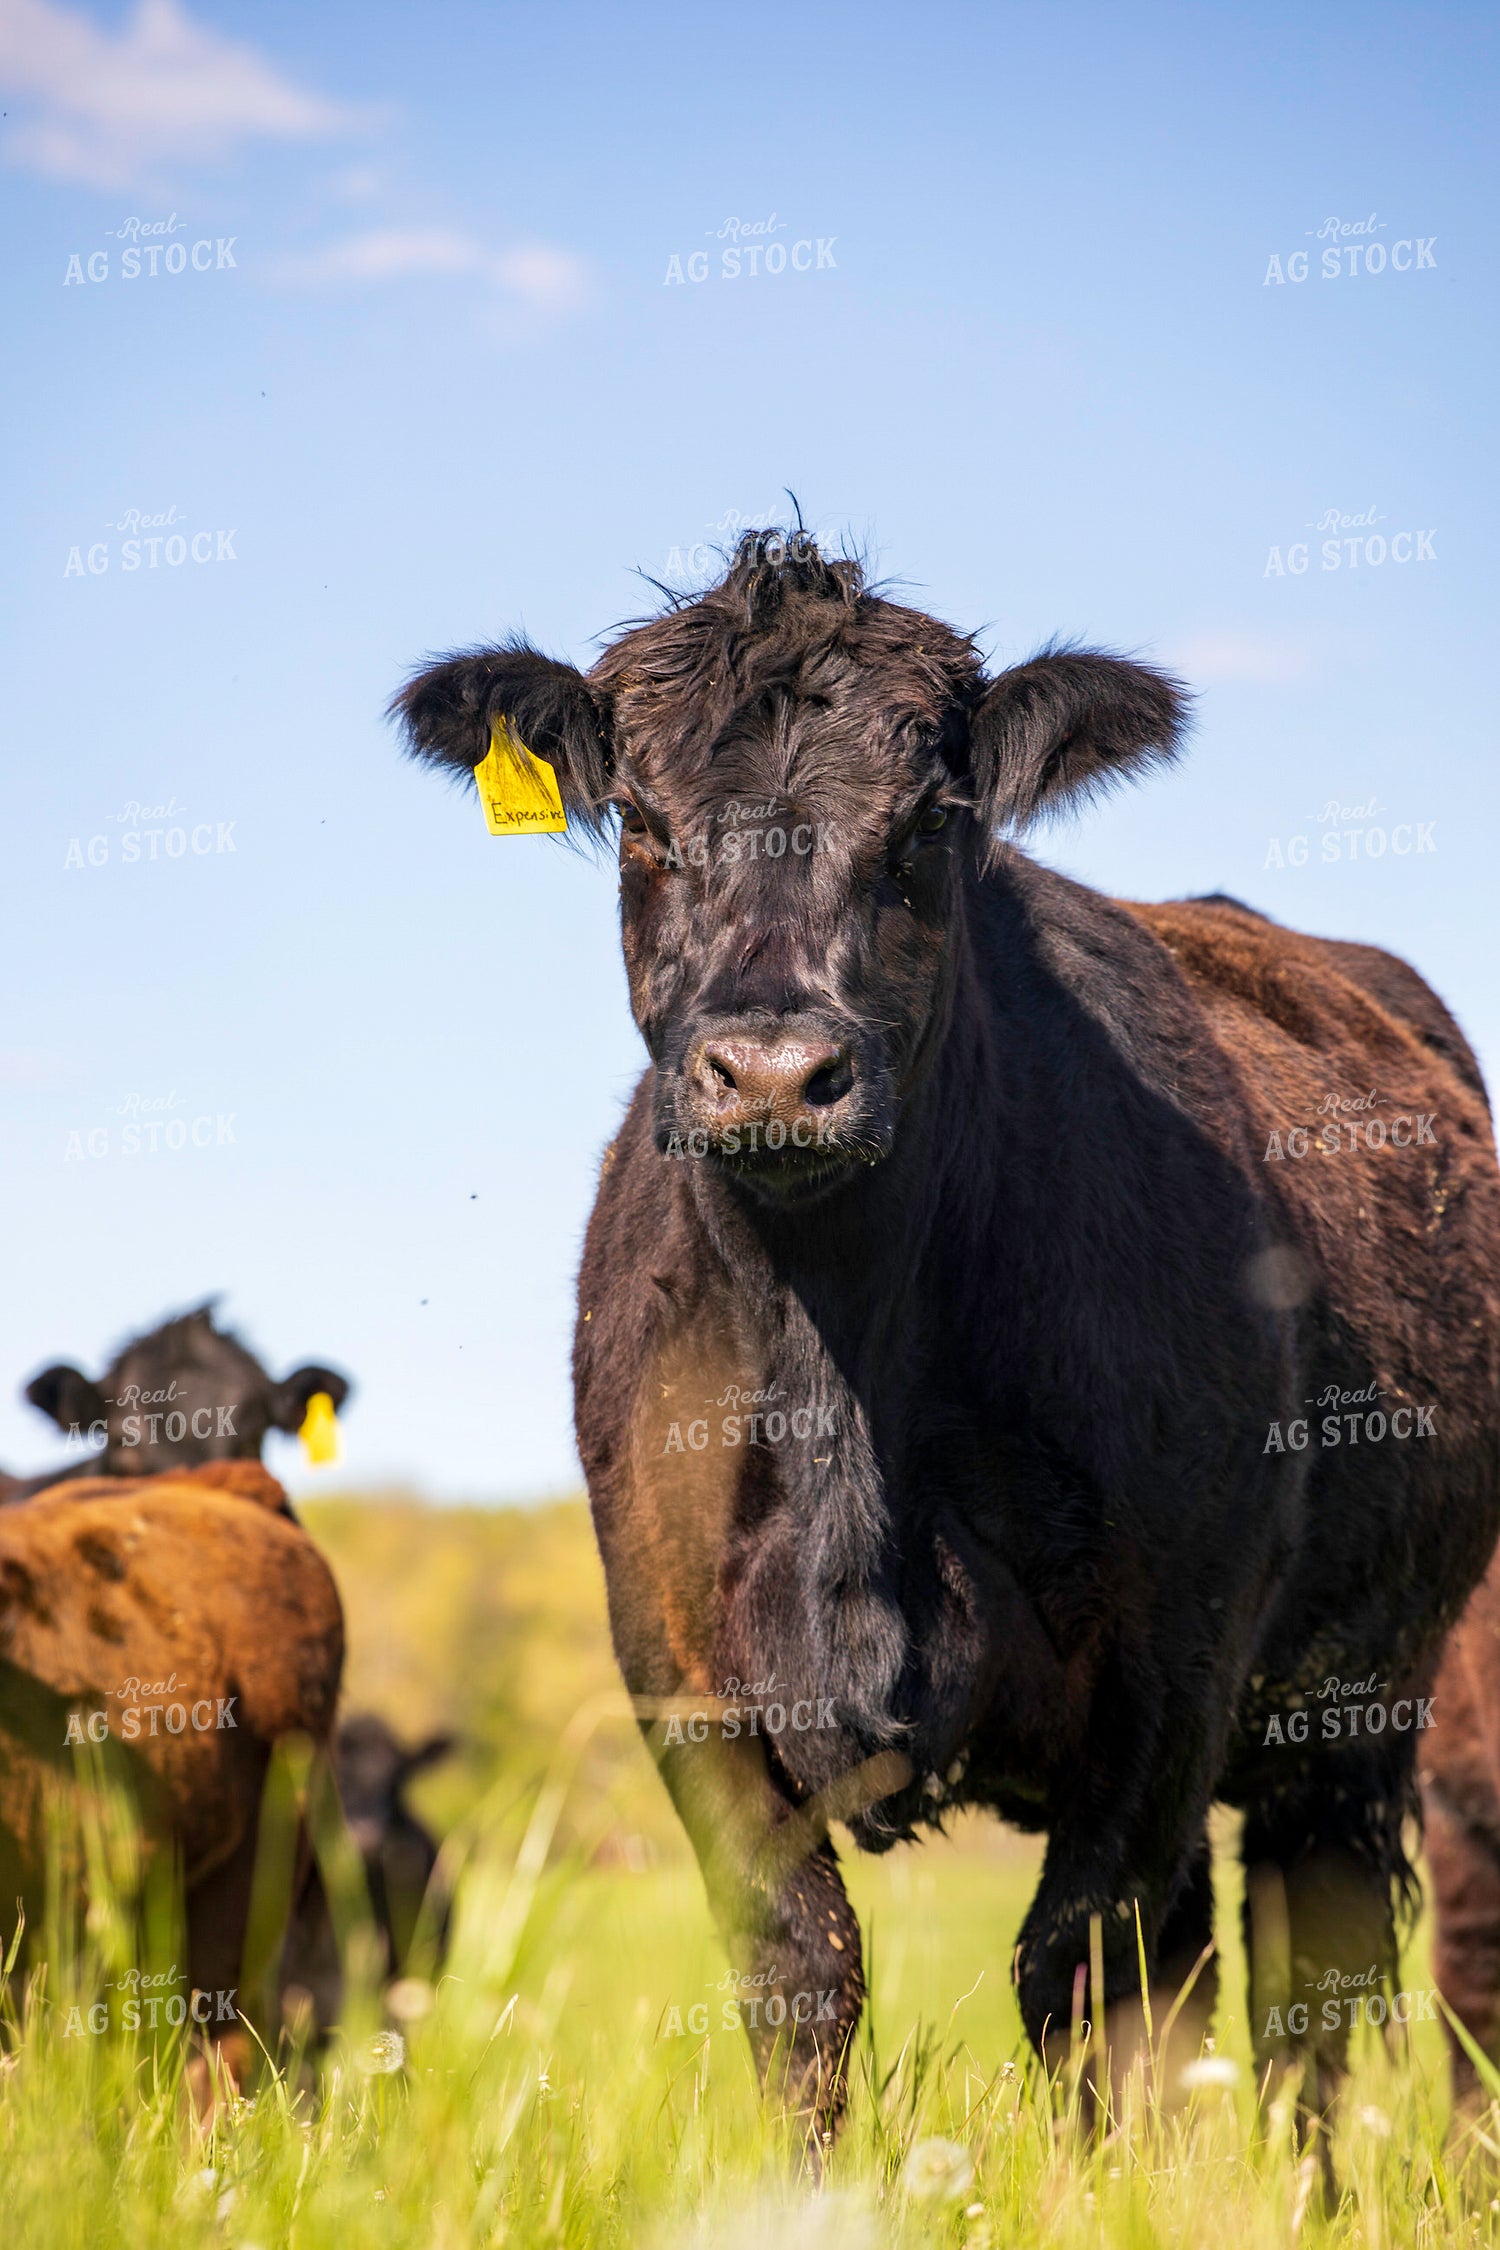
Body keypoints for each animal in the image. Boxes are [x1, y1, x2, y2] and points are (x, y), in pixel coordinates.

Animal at [391, 527, 1500, 2148]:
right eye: (643, 824)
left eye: (926, 823)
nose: (774, 1070)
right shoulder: (679, 1673)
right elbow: (805, 1972)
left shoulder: (1170, 1676)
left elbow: (1086, 1981)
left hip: (1356, 1709)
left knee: (1313, 1987)